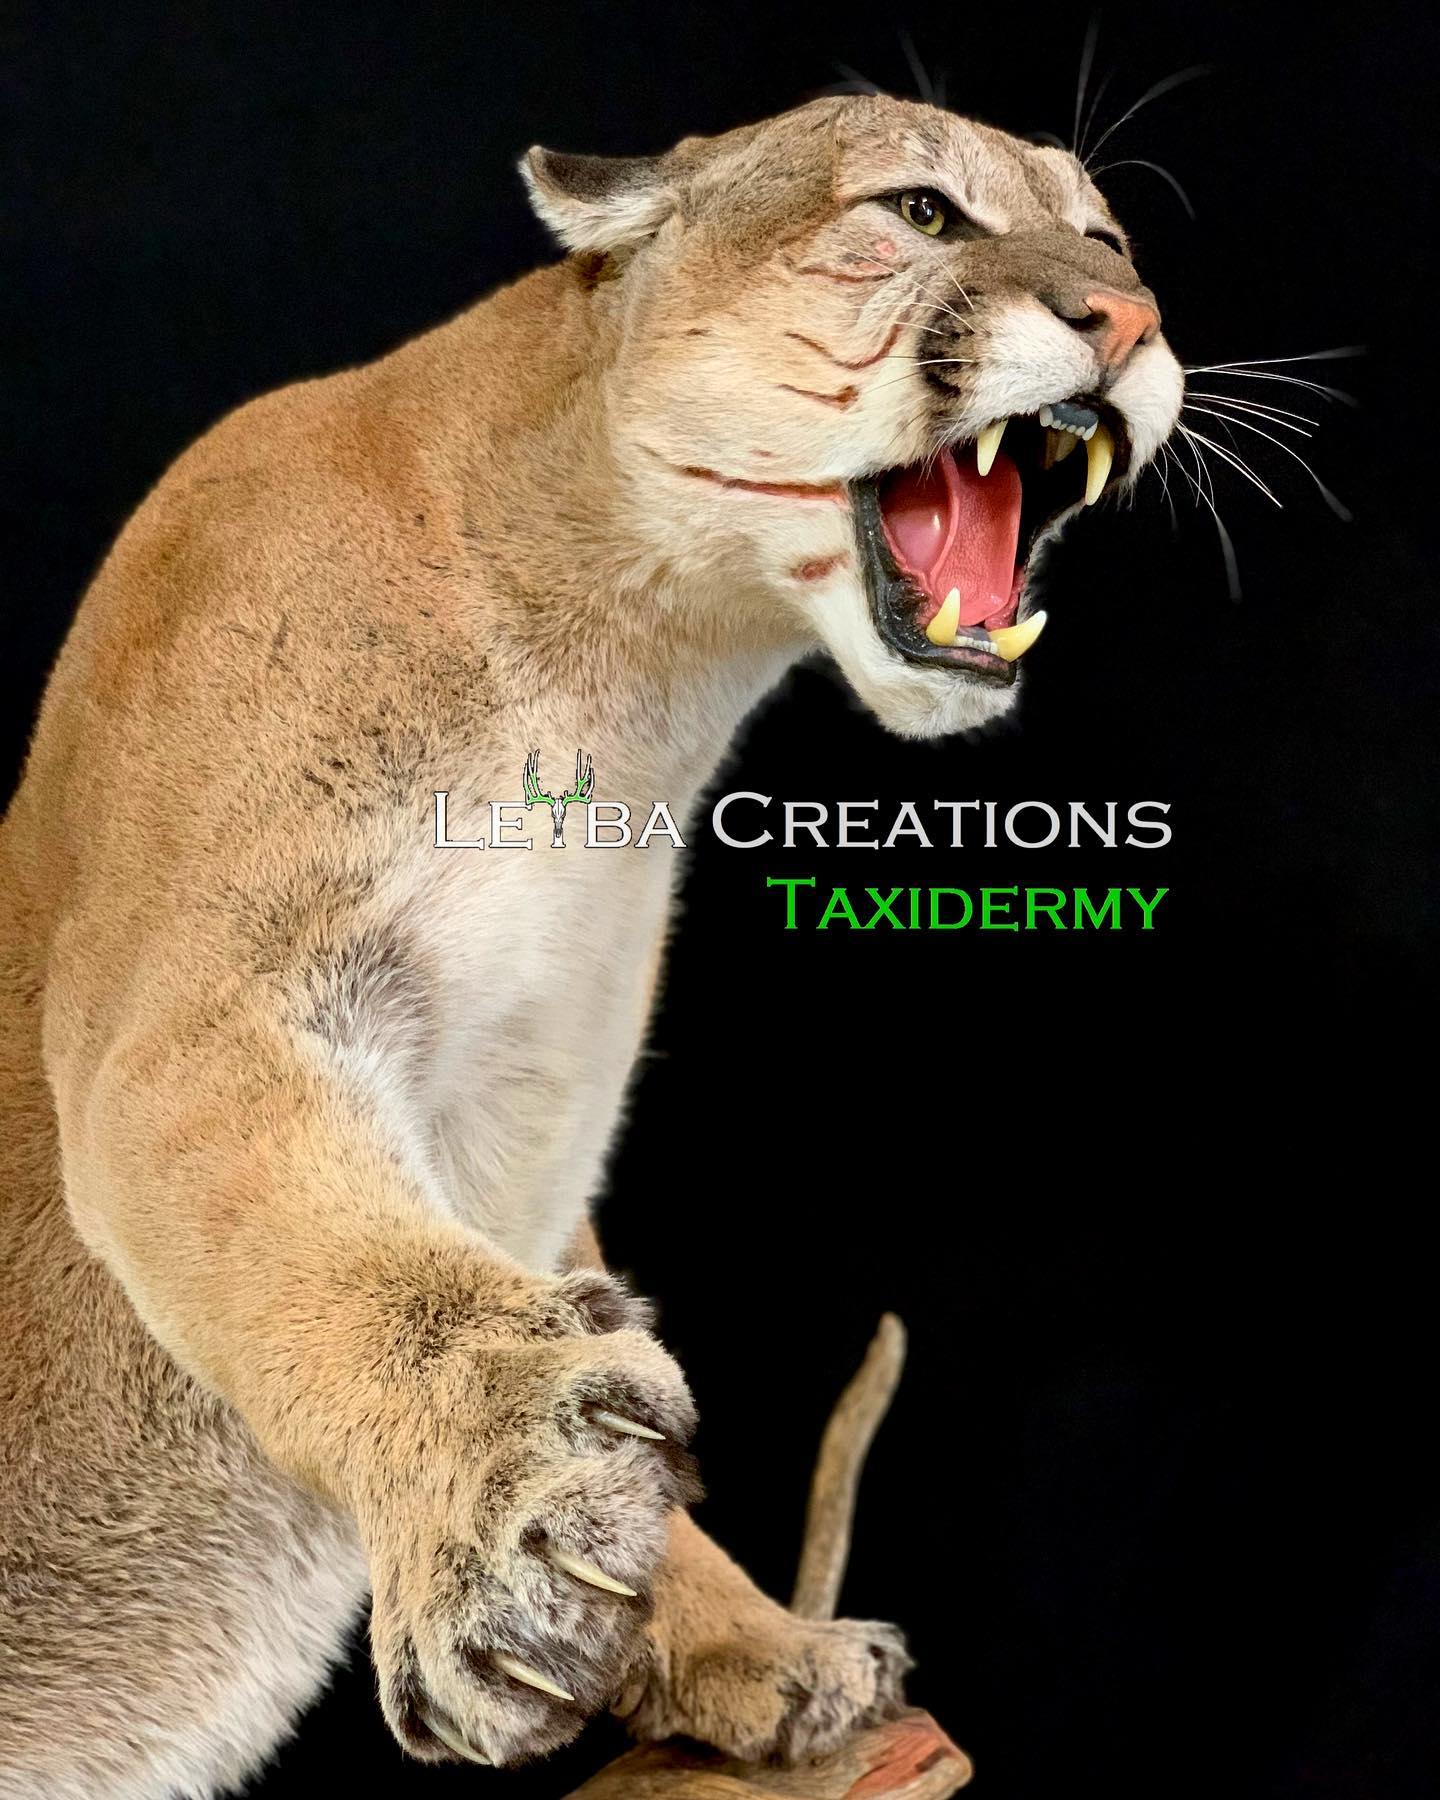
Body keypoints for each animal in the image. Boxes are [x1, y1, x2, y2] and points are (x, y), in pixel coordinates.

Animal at [0, 94, 1182, 1795]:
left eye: (1108, 238)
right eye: (918, 211)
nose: (1130, 319)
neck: (631, 668)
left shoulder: (527, 1112)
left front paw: (755, 1647)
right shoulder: (216, 1009)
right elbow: (360, 1261)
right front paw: (511, 1489)